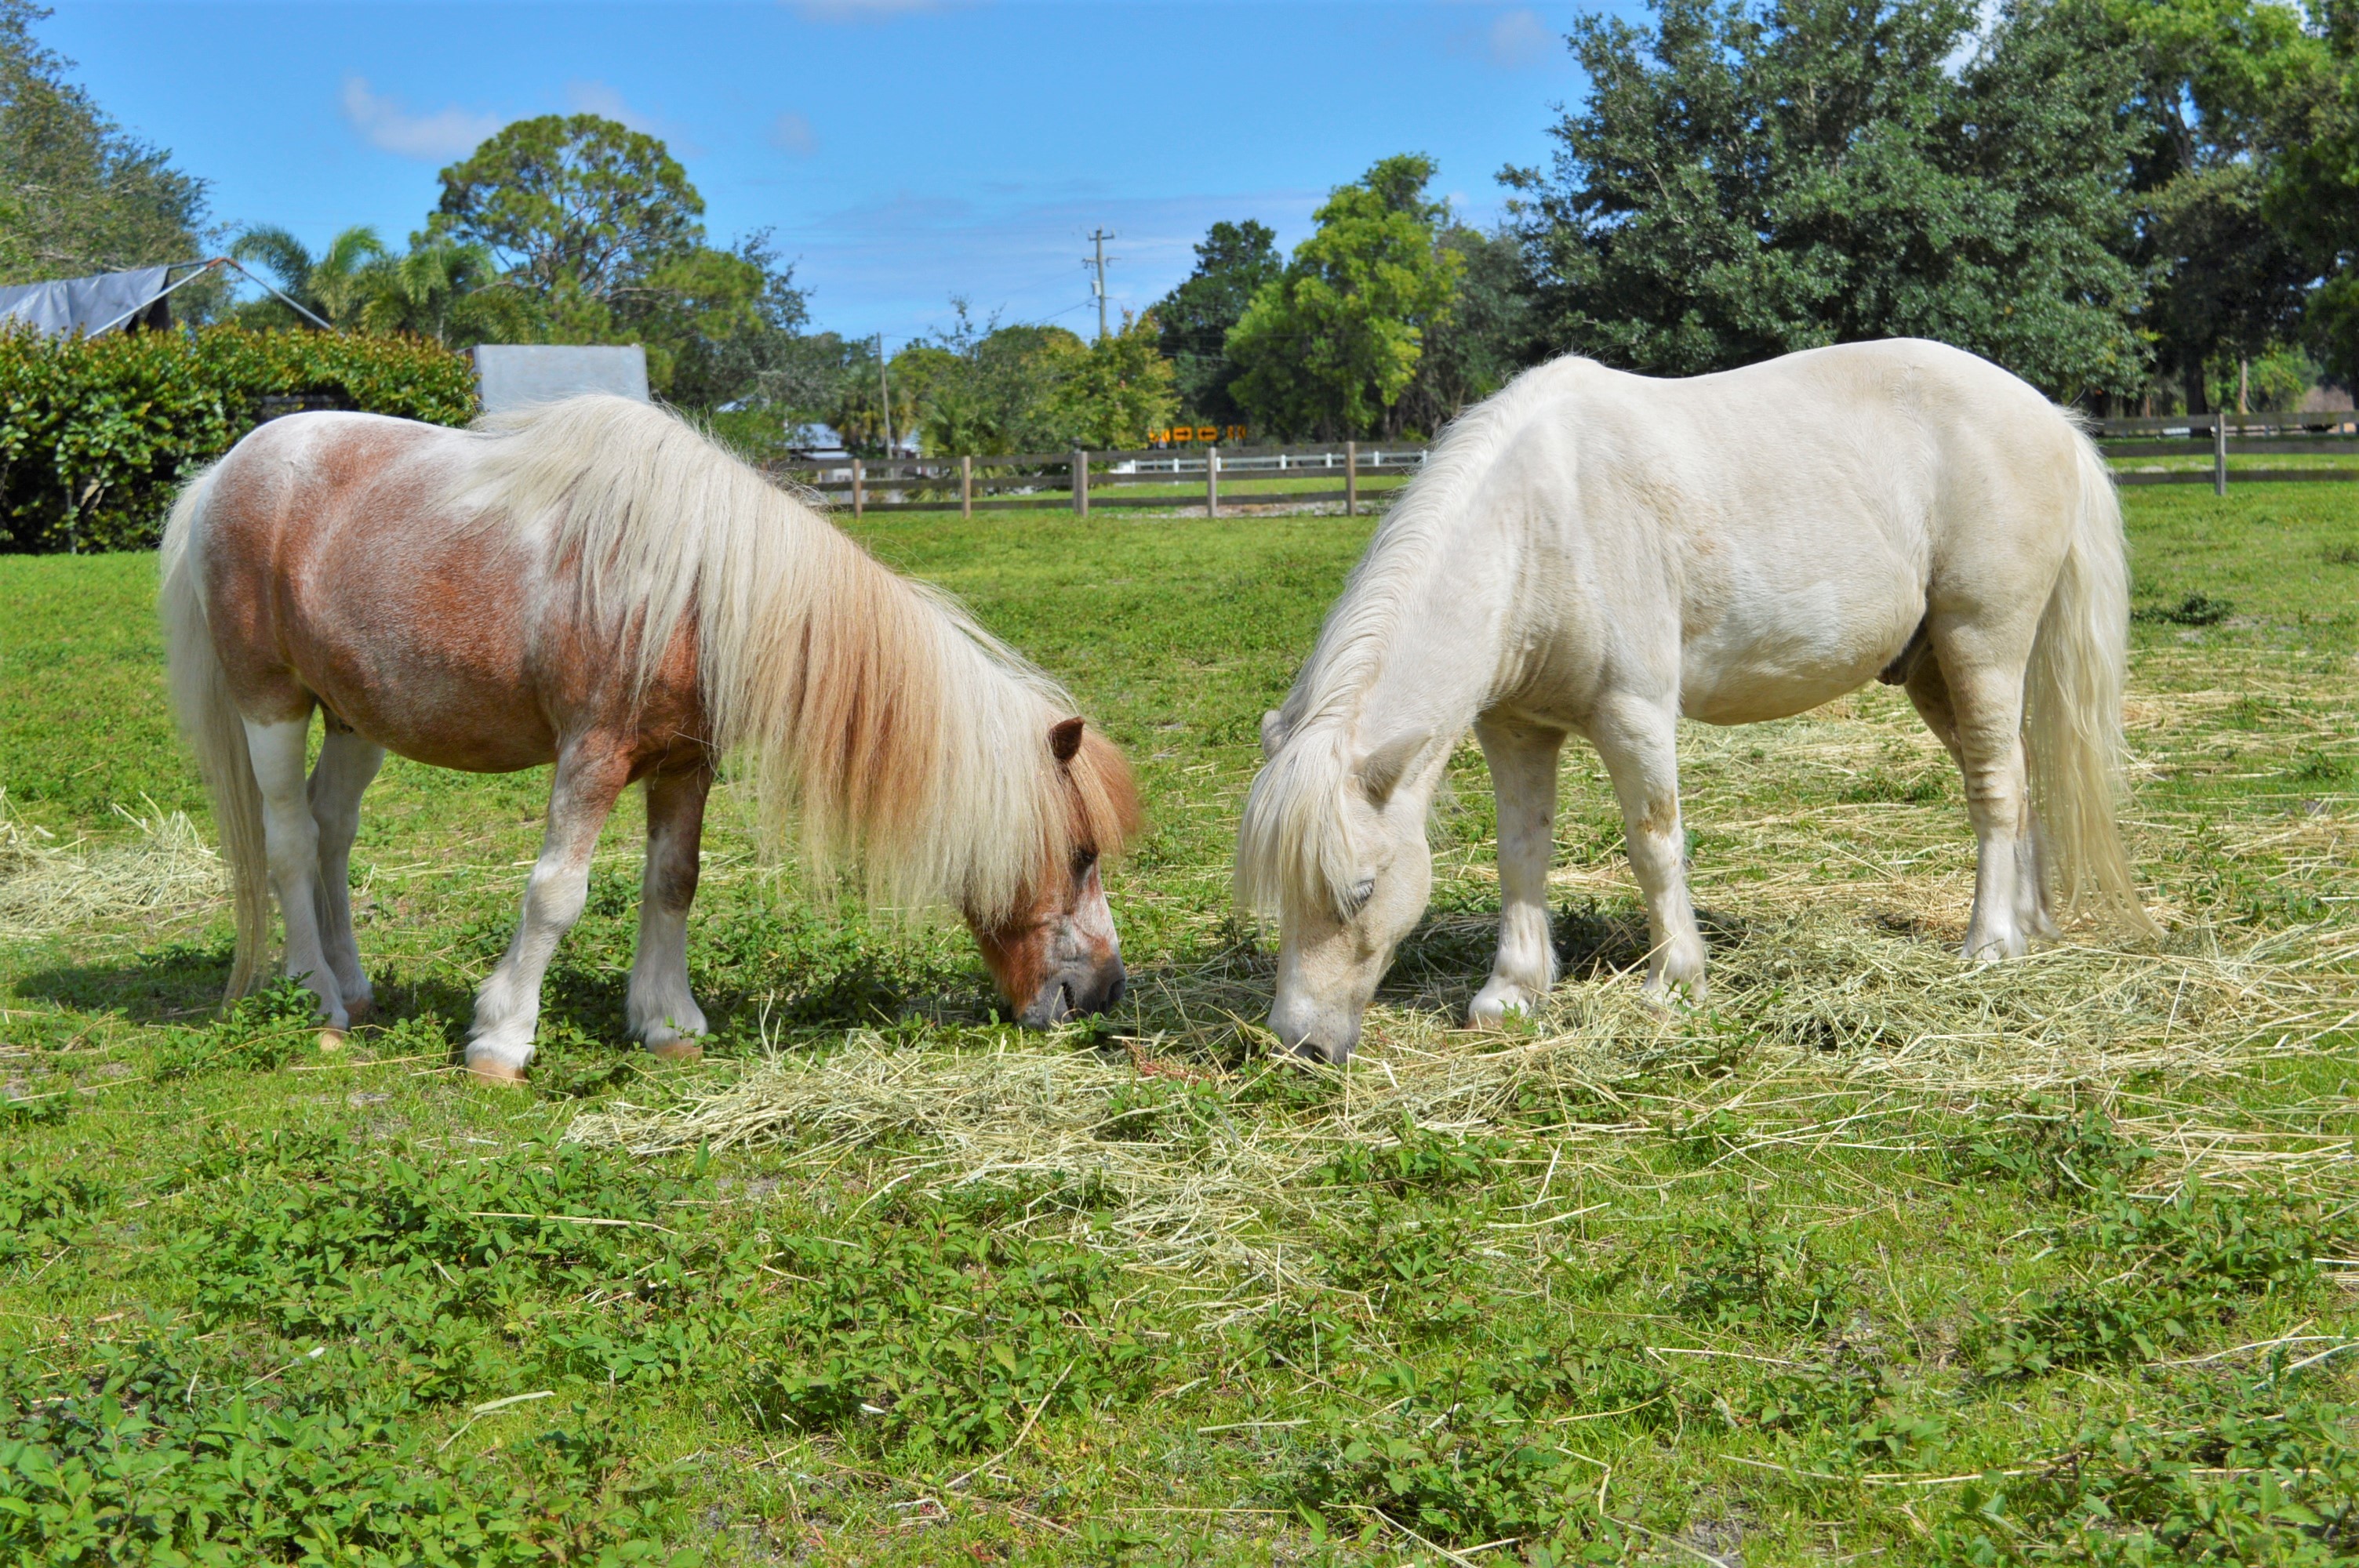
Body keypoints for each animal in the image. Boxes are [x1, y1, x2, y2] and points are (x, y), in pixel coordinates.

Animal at [162, 391, 1136, 1084]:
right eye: (1080, 853)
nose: (1099, 994)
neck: (701, 587)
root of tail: (223, 473)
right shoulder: (591, 755)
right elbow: (556, 892)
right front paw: (501, 1039)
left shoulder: (684, 763)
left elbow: (673, 882)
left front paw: (666, 1024)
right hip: (271, 704)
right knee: (290, 840)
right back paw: (317, 999)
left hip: (355, 716)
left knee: (331, 832)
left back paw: (356, 988)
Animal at [1255, 342, 2161, 1065]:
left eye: (1361, 890)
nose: (1299, 1046)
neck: (1539, 527)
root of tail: (2048, 416)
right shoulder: (1514, 730)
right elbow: (1522, 853)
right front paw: (1510, 993)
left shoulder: (1634, 715)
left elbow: (1654, 845)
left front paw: (1674, 982)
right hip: (1935, 668)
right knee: (2016, 774)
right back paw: (2028, 927)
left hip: (1982, 644)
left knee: (1994, 788)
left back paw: (1988, 945)